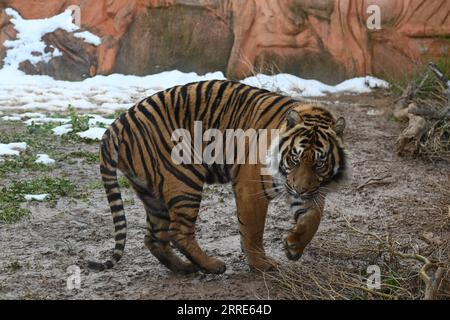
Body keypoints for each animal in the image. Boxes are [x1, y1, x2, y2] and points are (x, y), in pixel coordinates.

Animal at [88, 79, 348, 274]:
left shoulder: (312, 189)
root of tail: (116, 125)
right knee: (178, 232)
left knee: (154, 237)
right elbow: (253, 231)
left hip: (152, 193)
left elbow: (313, 220)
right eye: (295, 158)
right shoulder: (251, 187)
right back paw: (212, 266)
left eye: (320, 163)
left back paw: (184, 268)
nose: (300, 190)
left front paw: (293, 247)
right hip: (184, 179)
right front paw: (261, 264)